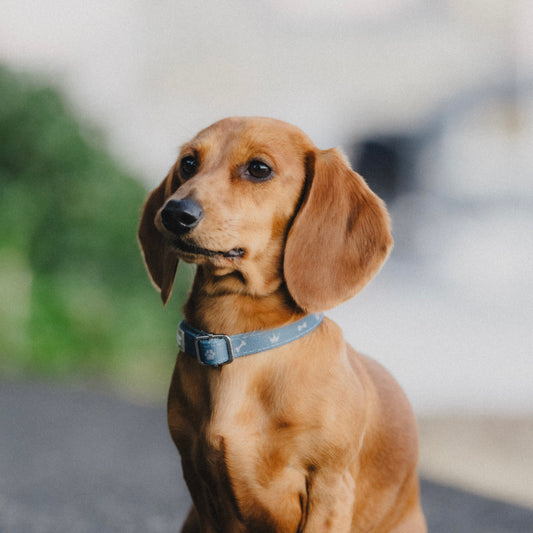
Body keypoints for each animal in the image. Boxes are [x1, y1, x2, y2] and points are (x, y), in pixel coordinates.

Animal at [139, 117, 426, 532]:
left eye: (259, 169)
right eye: (188, 163)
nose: (174, 213)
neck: (242, 339)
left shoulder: (328, 488)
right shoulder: (199, 484)